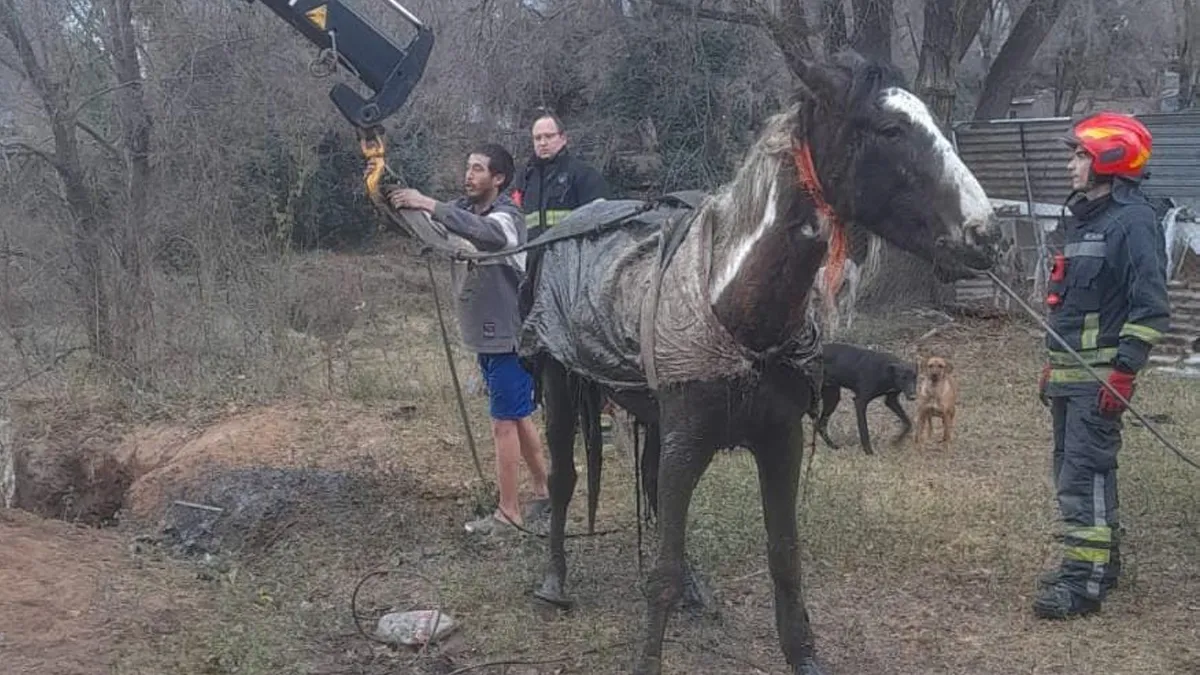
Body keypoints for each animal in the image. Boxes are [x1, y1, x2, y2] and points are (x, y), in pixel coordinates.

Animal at [516, 51, 993, 672]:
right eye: (890, 130)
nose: (987, 235)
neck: (735, 313)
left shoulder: (778, 441)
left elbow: (784, 554)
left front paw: (803, 655)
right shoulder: (688, 444)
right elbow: (661, 572)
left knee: (646, 483)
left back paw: (694, 588)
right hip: (559, 383)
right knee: (564, 476)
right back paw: (554, 581)